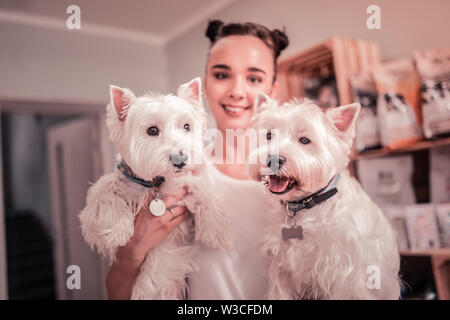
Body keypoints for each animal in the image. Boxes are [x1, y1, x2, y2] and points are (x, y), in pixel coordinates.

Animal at [79, 77, 232, 300]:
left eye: (186, 126)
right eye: (152, 130)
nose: (180, 159)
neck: (157, 183)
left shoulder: (183, 189)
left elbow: (202, 192)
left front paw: (217, 229)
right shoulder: (100, 210)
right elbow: (104, 192)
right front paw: (117, 230)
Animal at [250, 95, 400, 300]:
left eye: (304, 140)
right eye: (268, 135)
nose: (273, 160)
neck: (308, 206)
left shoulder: (343, 276)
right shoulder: (282, 269)